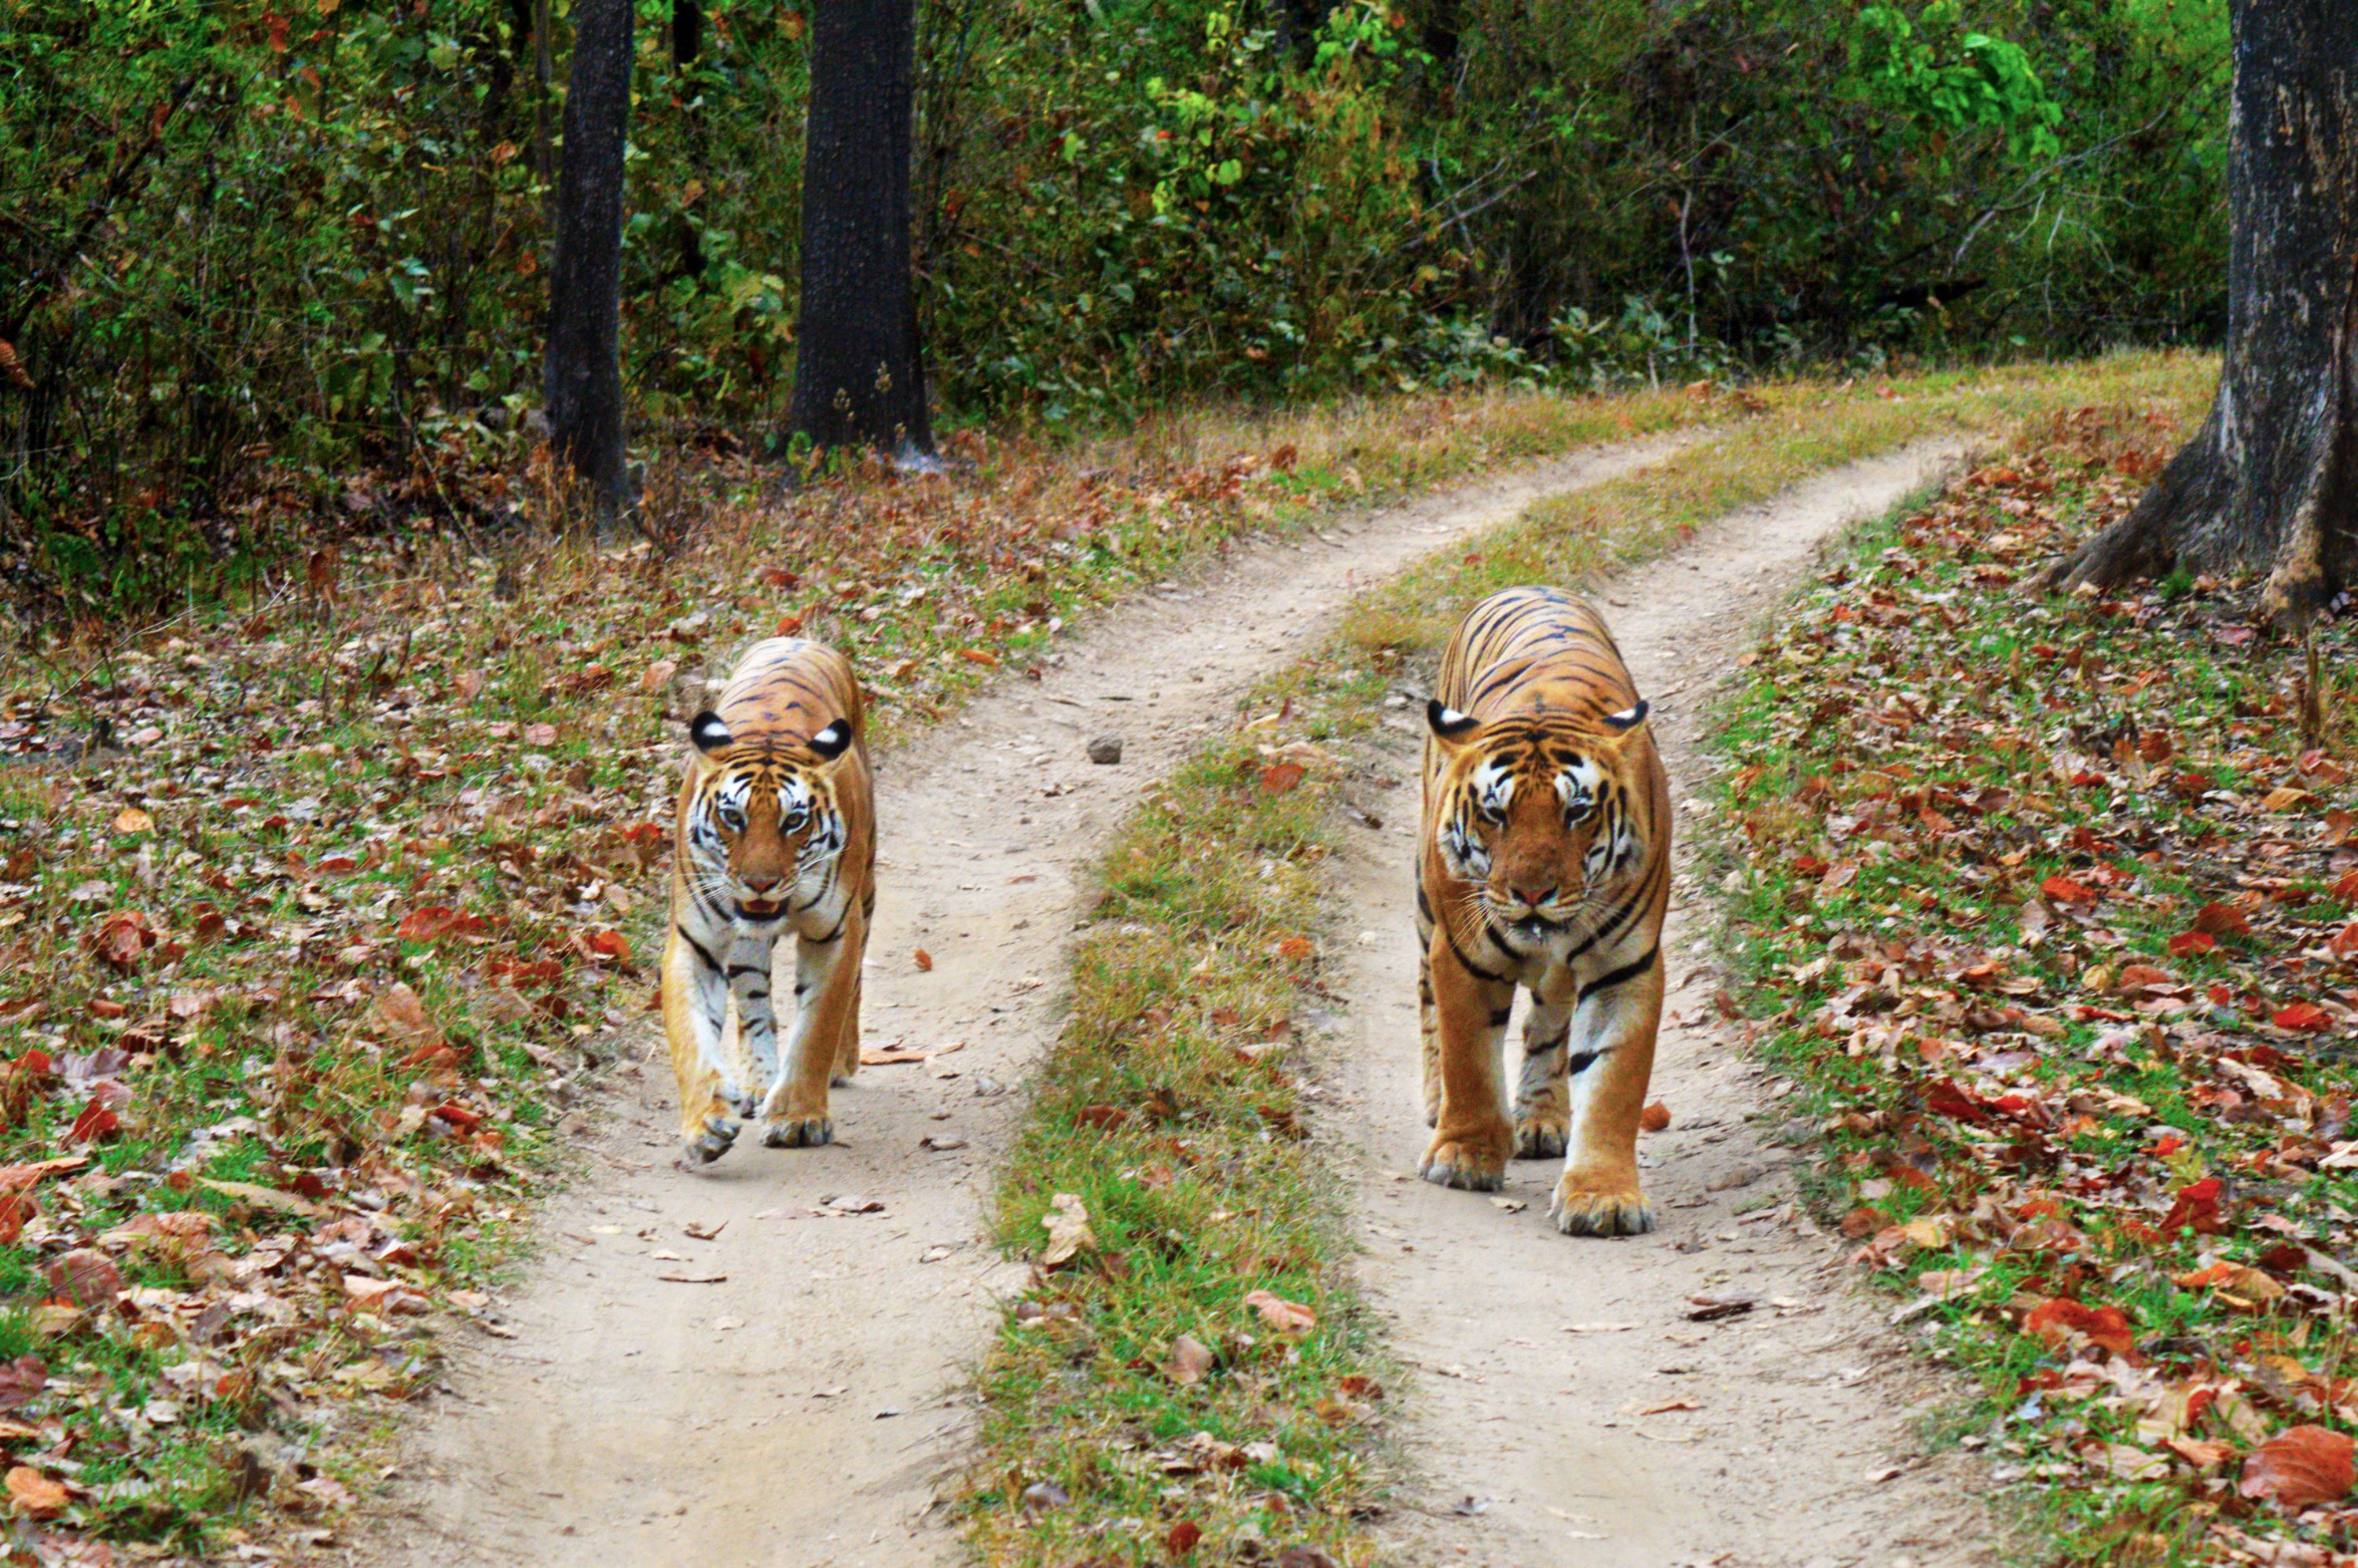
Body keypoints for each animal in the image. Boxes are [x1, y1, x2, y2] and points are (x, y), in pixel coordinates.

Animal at [664, 637, 876, 1164]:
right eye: (732, 817)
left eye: (794, 820)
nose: (759, 883)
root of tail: (799, 638)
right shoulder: (694, 941)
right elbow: (690, 1036)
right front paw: (705, 1125)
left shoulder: (835, 934)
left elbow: (818, 1025)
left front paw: (798, 1118)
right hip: (744, 949)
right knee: (755, 1004)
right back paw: (758, 1085)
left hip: (866, 893)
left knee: (856, 986)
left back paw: (841, 1062)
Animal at [1415, 586, 1671, 1236]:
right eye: (1494, 812)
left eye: (1576, 811)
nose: (1532, 893)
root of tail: (1527, 585)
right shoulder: (1463, 953)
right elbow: (1468, 1057)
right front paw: (1464, 1156)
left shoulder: (1626, 966)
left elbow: (1612, 1084)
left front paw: (1604, 1197)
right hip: (1426, 909)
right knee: (1427, 1006)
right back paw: (1436, 1103)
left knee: (1546, 1023)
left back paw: (1542, 1117)